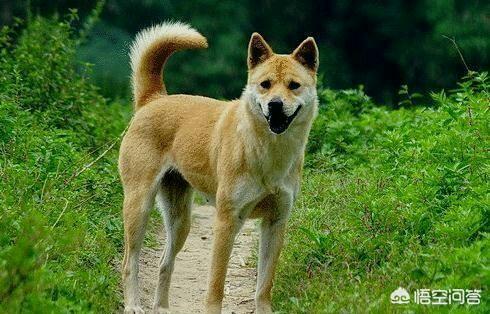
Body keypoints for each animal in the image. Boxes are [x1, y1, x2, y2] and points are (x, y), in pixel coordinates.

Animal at [118, 22, 318, 314]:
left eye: (294, 86)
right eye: (265, 85)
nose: (275, 105)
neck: (267, 152)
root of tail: (154, 99)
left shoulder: (276, 222)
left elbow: (264, 284)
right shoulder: (227, 220)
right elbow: (216, 284)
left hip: (180, 221)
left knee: (165, 263)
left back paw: (162, 307)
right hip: (139, 206)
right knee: (129, 263)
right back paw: (133, 304)